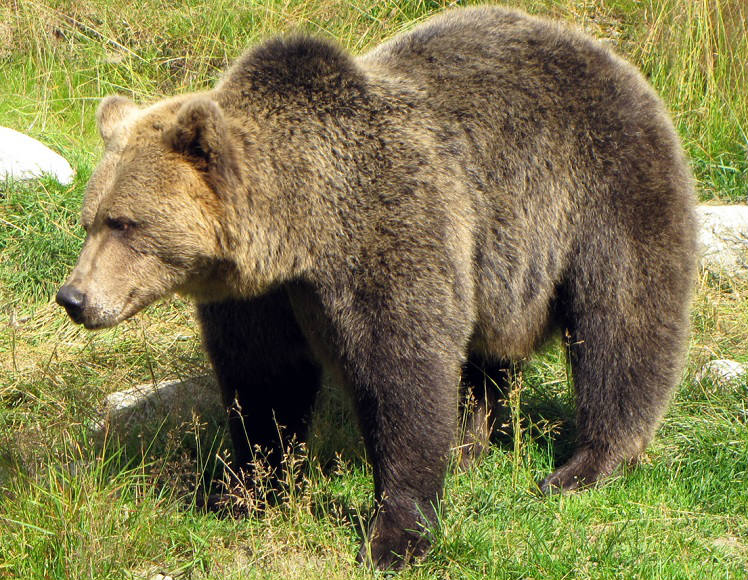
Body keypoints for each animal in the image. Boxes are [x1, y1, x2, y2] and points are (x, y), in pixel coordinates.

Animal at [56, 5, 697, 570]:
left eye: (124, 223)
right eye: (90, 219)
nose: (74, 298)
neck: (299, 230)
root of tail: (611, 56)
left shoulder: (387, 231)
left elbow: (401, 374)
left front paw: (395, 536)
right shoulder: (262, 298)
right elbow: (264, 380)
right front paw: (245, 491)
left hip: (604, 186)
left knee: (623, 322)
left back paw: (586, 464)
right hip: (498, 261)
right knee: (487, 354)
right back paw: (470, 445)